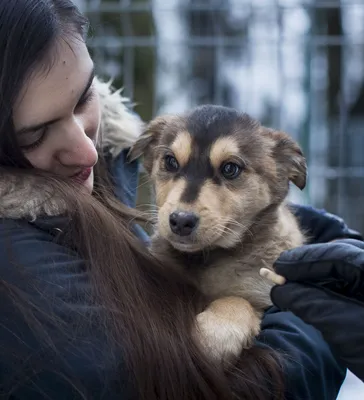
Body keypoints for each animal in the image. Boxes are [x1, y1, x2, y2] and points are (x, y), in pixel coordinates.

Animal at [126, 104, 306, 360]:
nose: (181, 221)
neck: (207, 257)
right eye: (170, 161)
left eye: (230, 168)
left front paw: (212, 334)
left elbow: (236, 300)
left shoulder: (262, 293)